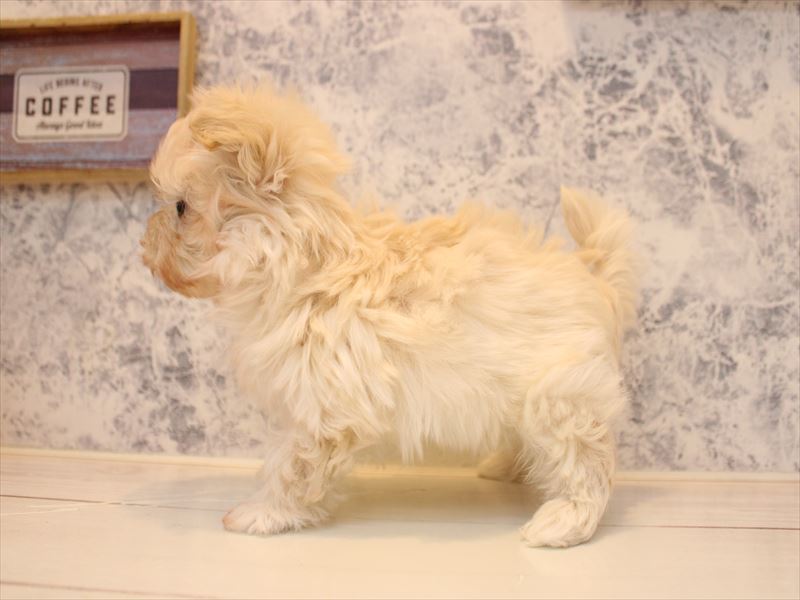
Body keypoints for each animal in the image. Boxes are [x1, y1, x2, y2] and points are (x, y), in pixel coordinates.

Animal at [141, 84, 637, 547]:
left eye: (181, 207)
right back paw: (503, 467)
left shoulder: (323, 409)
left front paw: (262, 513)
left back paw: (565, 521)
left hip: (560, 396)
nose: (146, 242)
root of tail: (598, 279)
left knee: (588, 459)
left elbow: (291, 466)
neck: (308, 266)